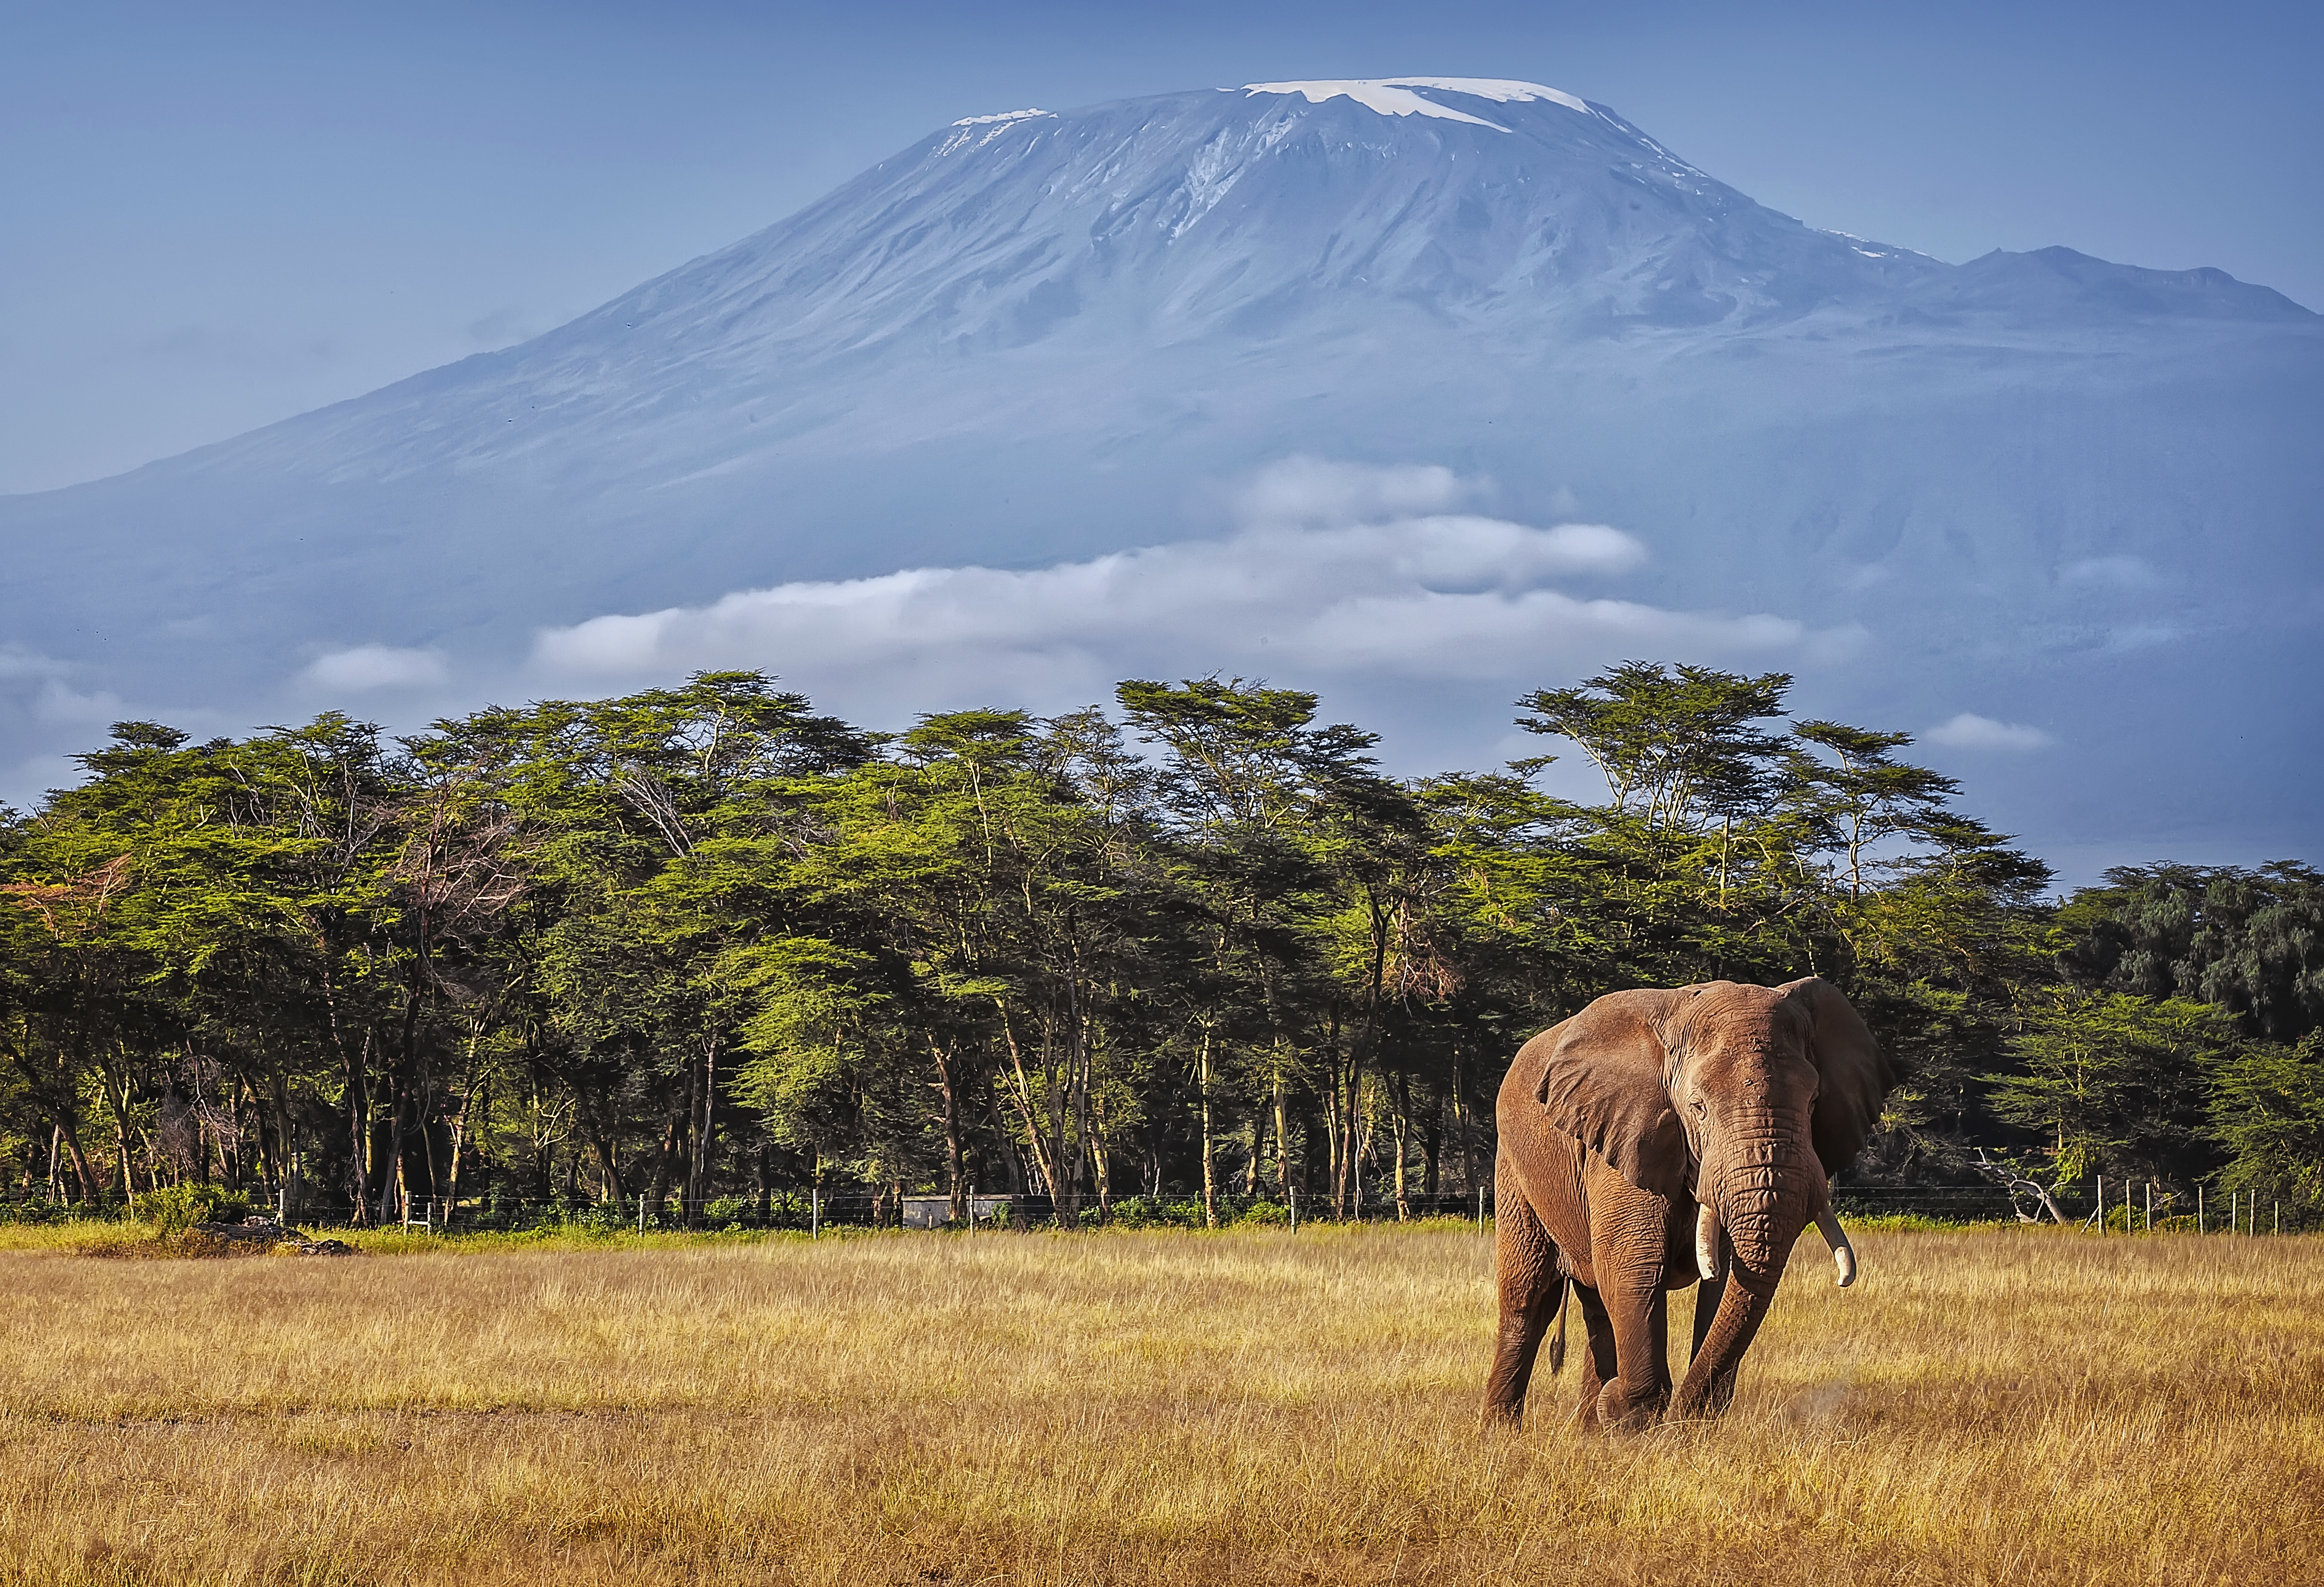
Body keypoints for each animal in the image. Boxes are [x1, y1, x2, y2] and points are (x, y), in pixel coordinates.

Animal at [1481, 977, 1893, 1430]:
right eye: (1698, 1108)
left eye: (1813, 1102)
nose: (1684, 1416)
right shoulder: (1626, 1134)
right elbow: (1636, 1266)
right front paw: (1631, 1415)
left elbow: (1724, 1281)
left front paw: (1663, 1423)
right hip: (1514, 1170)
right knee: (1529, 1301)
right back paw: (1503, 1434)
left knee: (1596, 1305)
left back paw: (1589, 1430)